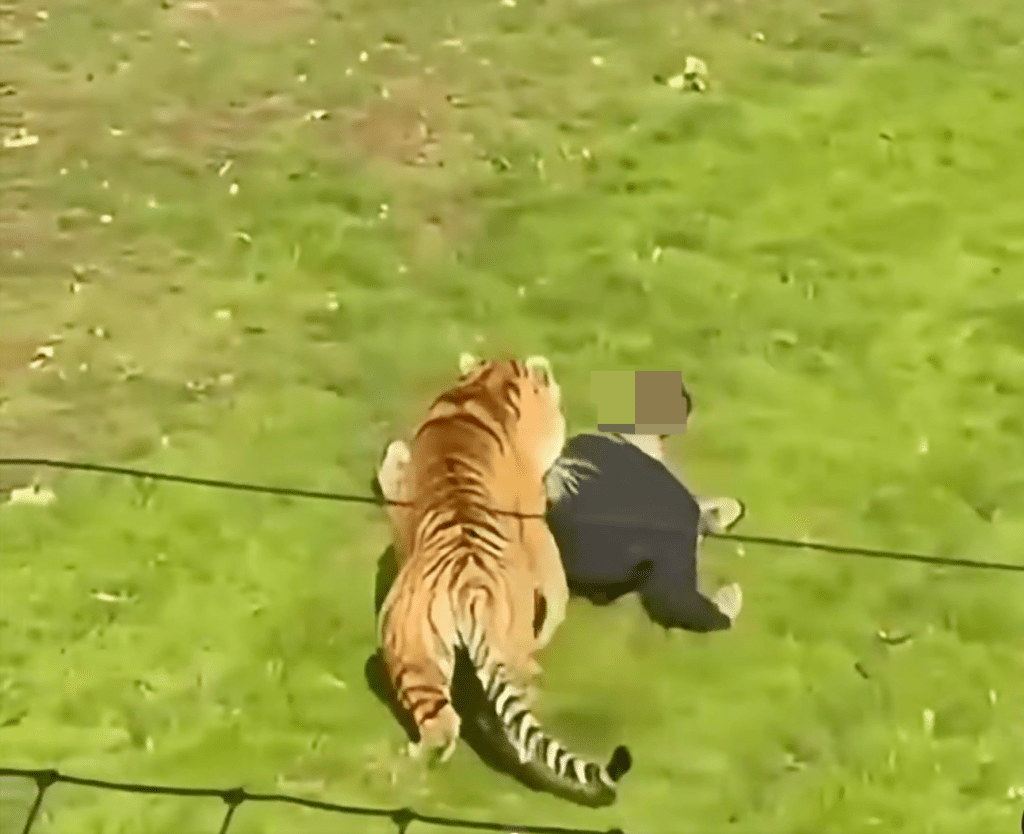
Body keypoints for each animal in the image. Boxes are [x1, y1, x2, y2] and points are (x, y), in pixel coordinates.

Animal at [374, 353, 632, 805]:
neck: (482, 390)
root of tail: (466, 588)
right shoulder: (534, 517)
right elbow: (554, 577)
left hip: (409, 647)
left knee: (443, 726)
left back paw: (410, 766)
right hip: (502, 648)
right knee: (519, 712)